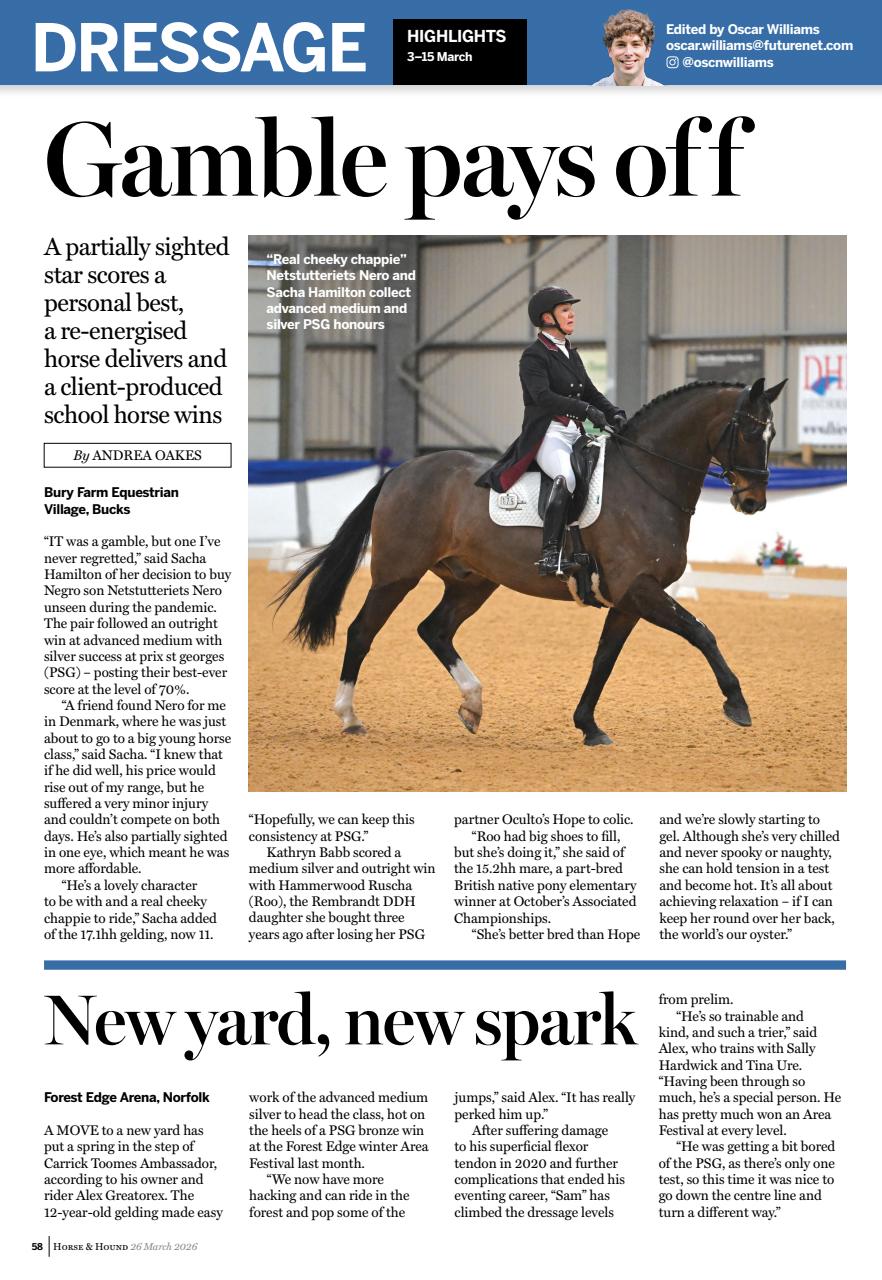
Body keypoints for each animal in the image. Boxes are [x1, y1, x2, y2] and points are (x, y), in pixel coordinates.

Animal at [272, 377, 785, 747]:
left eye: (772, 433)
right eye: (750, 430)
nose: (753, 501)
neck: (647, 480)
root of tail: (401, 471)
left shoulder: (628, 599)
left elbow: (605, 659)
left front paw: (588, 726)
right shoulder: (640, 588)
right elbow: (701, 632)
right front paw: (737, 704)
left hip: (473, 581)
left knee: (434, 630)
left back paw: (473, 706)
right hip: (397, 575)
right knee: (362, 631)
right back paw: (349, 717)